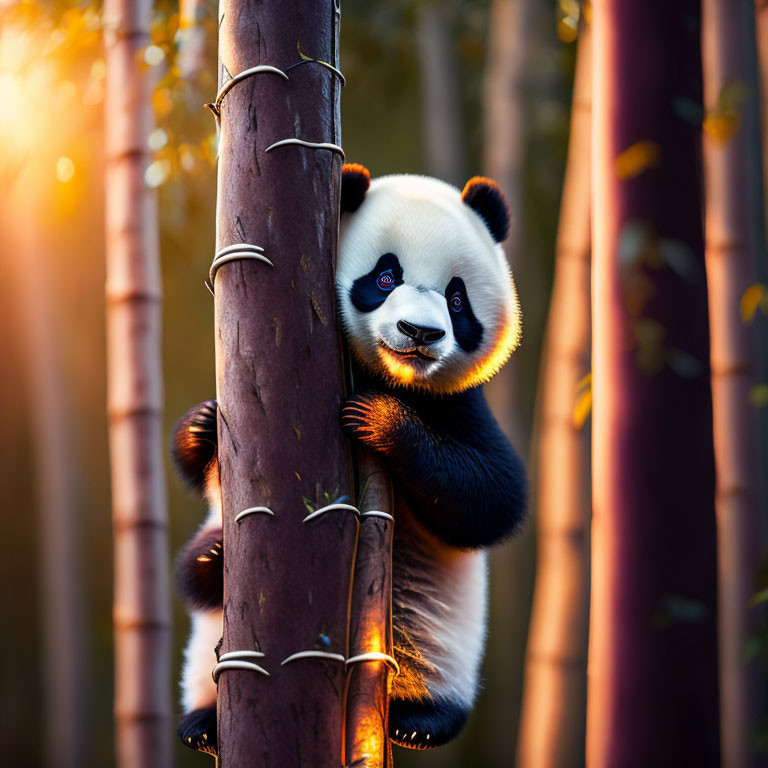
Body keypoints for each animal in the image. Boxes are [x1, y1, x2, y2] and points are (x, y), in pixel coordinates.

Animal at [171, 164, 524, 756]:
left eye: (457, 299)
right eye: (384, 277)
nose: (420, 333)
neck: (394, 375)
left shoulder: (459, 405)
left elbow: (493, 499)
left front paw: (379, 419)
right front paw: (200, 426)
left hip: (436, 647)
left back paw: (418, 722)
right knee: (193, 580)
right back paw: (202, 716)